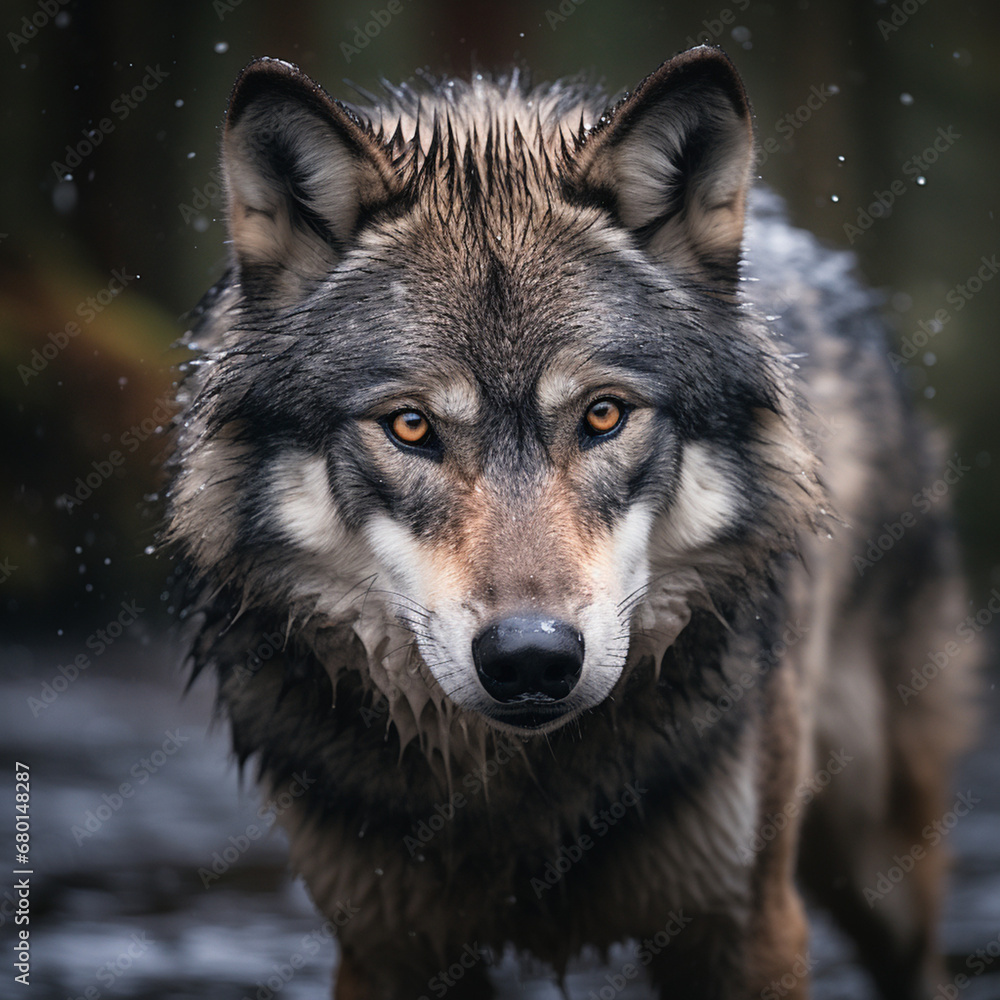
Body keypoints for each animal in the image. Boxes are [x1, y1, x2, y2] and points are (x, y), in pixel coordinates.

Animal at [167, 46, 974, 999]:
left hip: (876, 860)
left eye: (602, 415)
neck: (520, 794)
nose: (530, 659)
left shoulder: (747, 928)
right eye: (411, 426)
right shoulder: (386, 944)